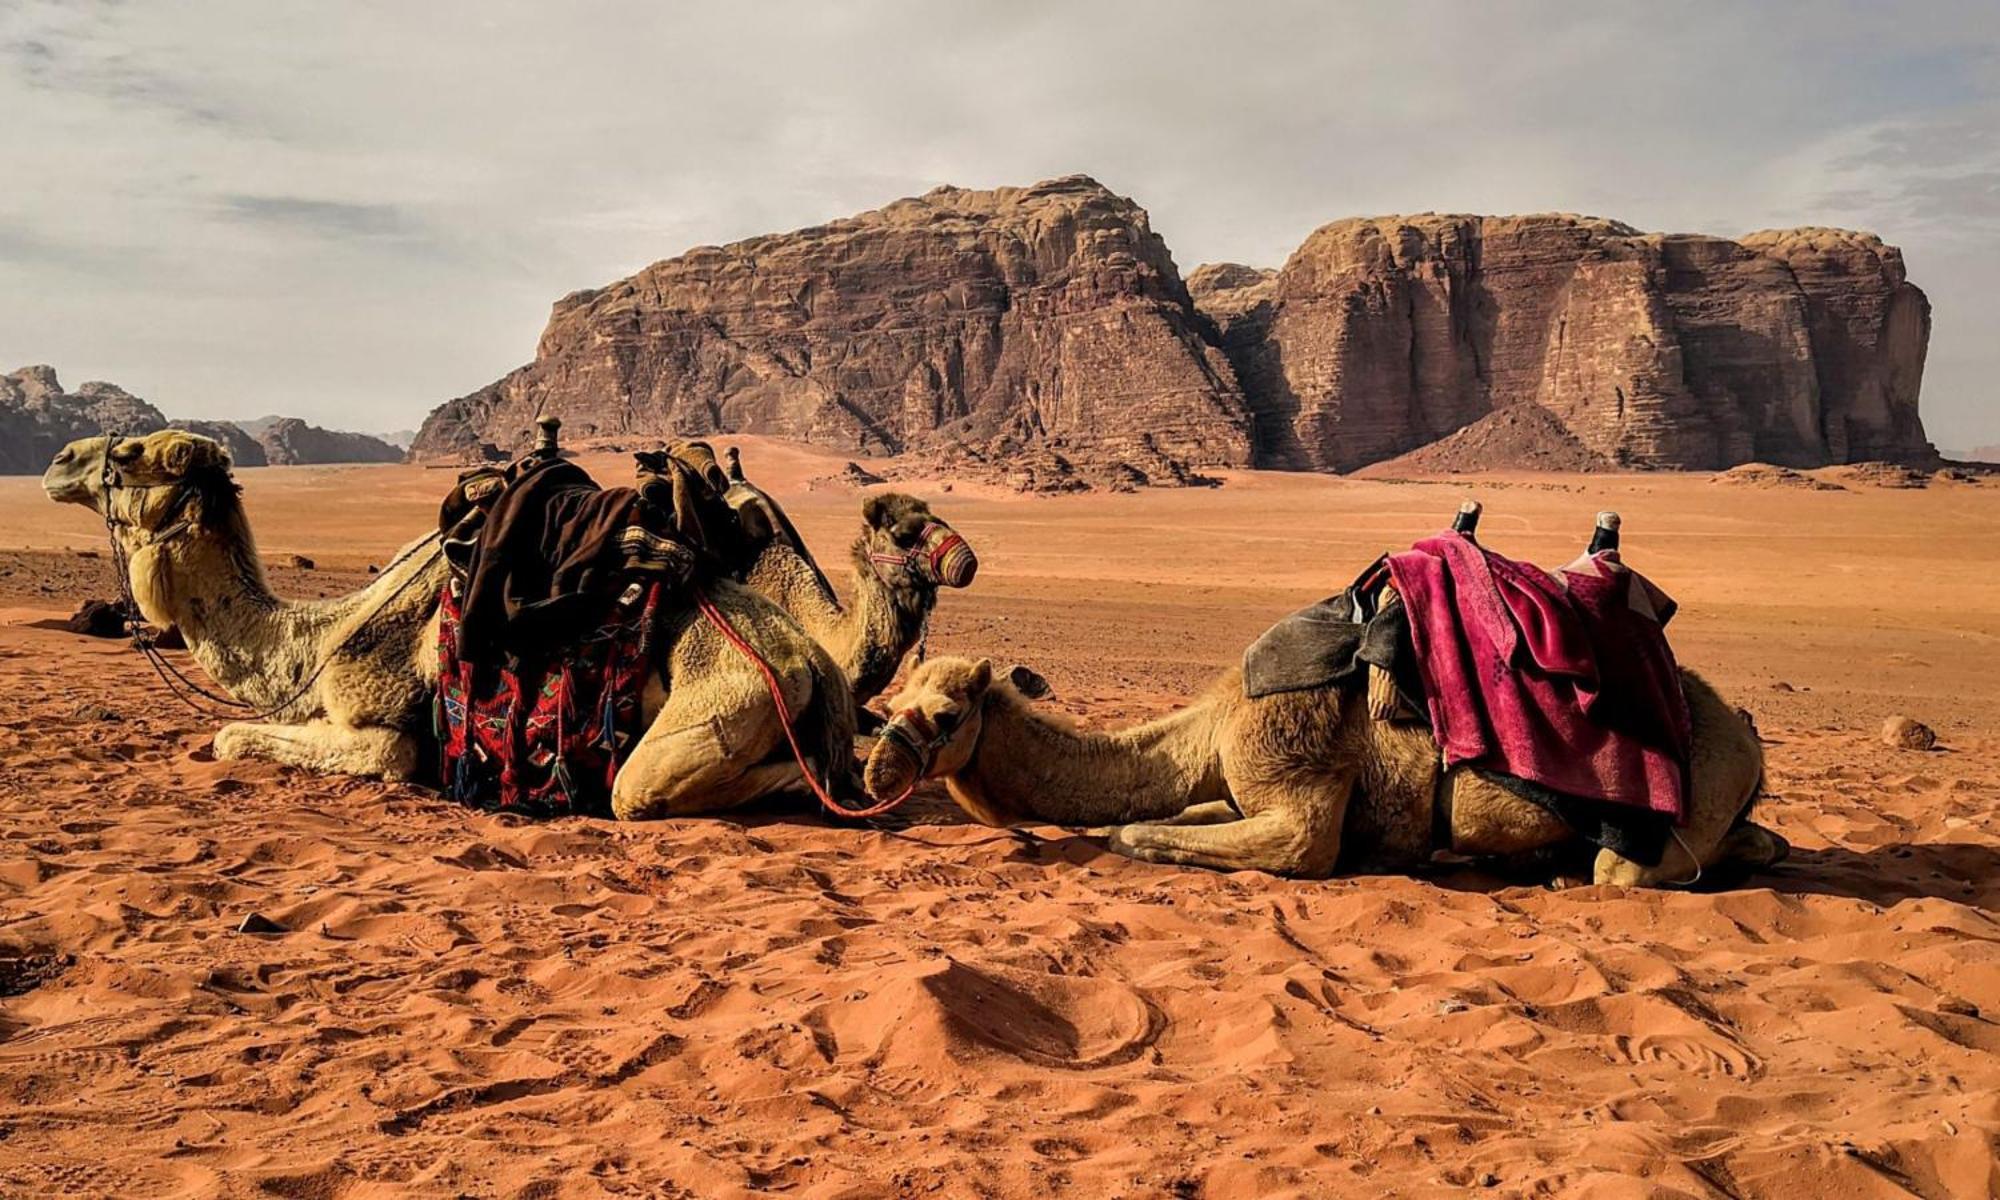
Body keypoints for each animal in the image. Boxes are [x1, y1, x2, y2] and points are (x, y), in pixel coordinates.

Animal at [41, 426, 852, 820]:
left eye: (128, 454)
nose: (56, 461)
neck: (315, 639)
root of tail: (812, 660)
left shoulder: (380, 727)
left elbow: (234, 737)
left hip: (724, 701)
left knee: (647, 788)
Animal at [868, 652, 1792, 884]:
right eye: (889, 700)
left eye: (945, 716)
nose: (877, 774)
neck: (1213, 724)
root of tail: (1746, 735)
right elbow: (1174, 821)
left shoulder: (1295, 792)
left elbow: (1139, 832)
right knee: (1760, 843)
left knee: (1623, 870)